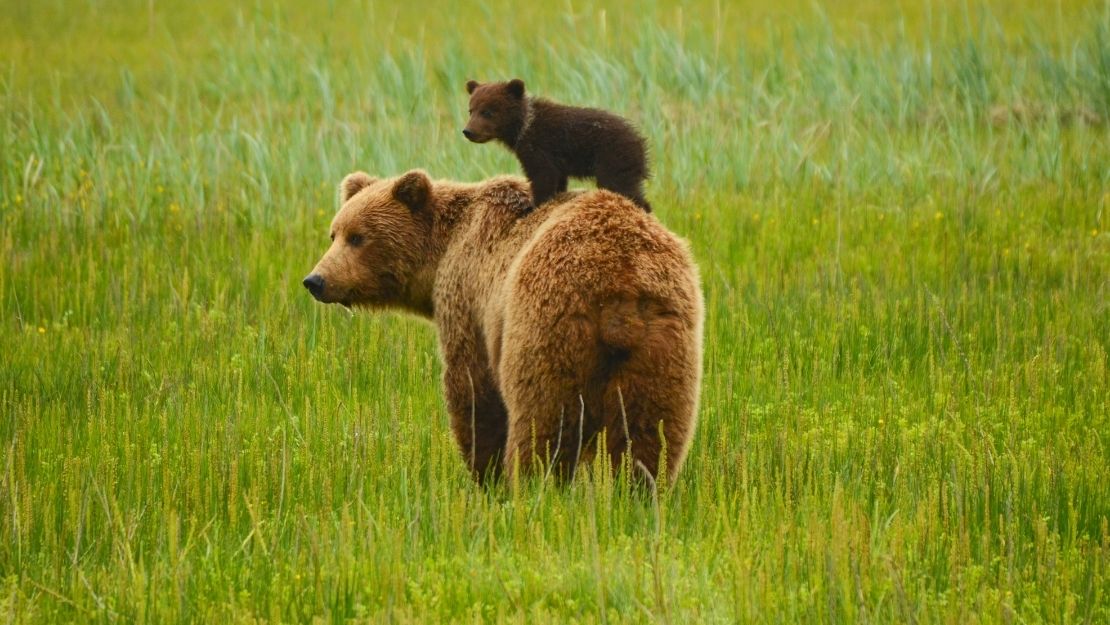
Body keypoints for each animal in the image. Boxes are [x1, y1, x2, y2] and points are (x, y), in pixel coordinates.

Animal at [303, 171, 702, 484]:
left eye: (358, 237)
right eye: (334, 234)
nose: (316, 280)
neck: (442, 252)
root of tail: (619, 283)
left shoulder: (469, 298)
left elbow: (472, 389)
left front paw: (484, 473)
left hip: (546, 326)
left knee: (543, 419)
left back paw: (533, 487)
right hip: (664, 341)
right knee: (651, 429)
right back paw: (637, 492)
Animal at [463, 78, 653, 213]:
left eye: (487, 112)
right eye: (471, 110)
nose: (468, 131)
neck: (523, 127)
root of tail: (640, 142)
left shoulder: (539, 147)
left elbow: (542, 176)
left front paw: (533, 206)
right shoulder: (554, 158)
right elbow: (558, 180)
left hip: (613, 160)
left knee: (622, 188)